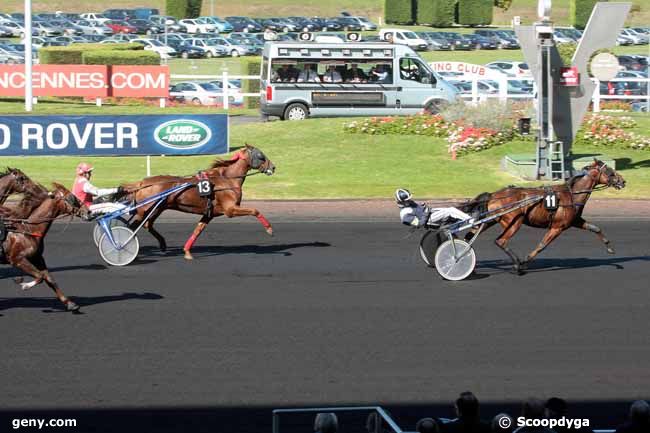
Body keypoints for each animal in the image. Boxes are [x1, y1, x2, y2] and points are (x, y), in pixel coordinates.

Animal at [0, 182, 88, 310]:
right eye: (72, 198)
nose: (88, 211)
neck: (28, 230)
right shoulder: (17, 259)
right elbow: (40, 276)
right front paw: (24, 284)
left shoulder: (37, 258)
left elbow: (49, 279)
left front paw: (69, 303)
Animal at [123, 144, 274, 260]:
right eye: (261, 155)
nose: (273, 167)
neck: (227, 180)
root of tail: (142, 183)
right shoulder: (230, 209)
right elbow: (254, 210)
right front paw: (269, 229)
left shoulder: (209, 213)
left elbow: (198, 230)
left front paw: (187, 252)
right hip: (147, 210)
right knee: (132, 228)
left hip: (156, 209)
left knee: (147, 225)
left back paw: (162, 244)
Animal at [460, 159, 624, 274]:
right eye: (610, 171)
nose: (623, 181)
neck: (571, 194)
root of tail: (493, 195)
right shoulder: (557, 227)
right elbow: (542, 245)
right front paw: (525, 262)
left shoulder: (574, 221)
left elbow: (595, 228)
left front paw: (610, 249)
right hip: (514, 222)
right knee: (500, 241)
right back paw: (517, 265)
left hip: (490, 220)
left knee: (469, 238)